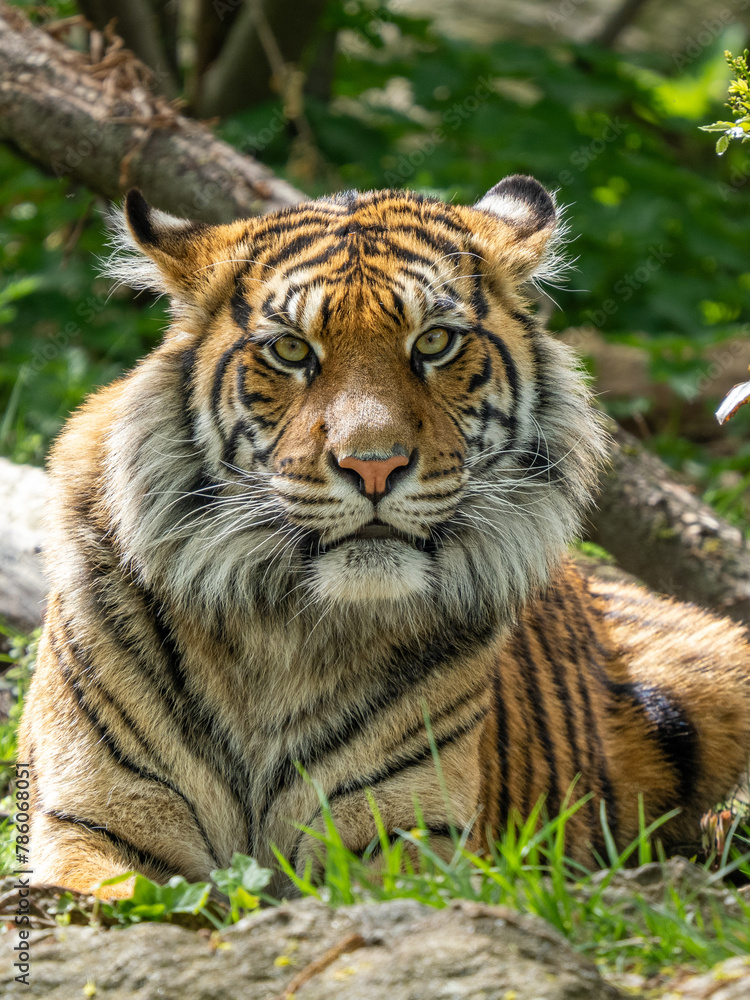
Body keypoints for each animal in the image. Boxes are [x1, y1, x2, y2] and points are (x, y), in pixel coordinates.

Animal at [19, 176, 750, 899]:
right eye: (291, 349)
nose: (373, 466)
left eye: (434, 343)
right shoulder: (91, 823)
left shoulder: (410, 838)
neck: (280, 634)